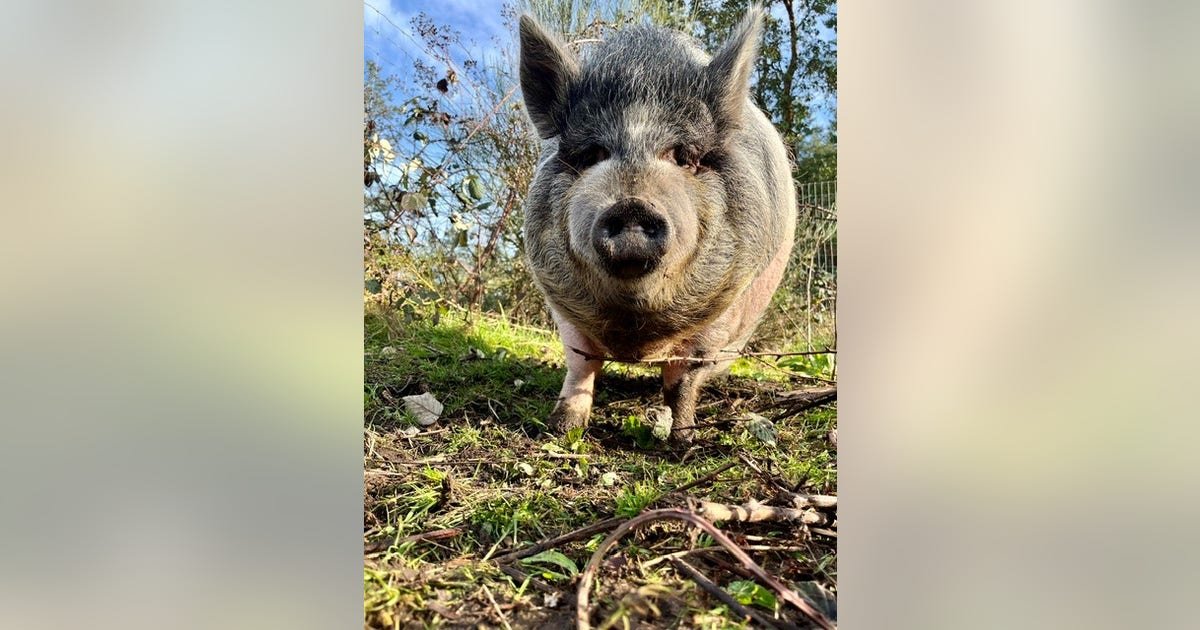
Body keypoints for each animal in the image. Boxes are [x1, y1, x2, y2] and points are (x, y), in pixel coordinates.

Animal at [518, 6, 796, 442]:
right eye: (592, 153)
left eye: (683, 156)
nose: (632, 205)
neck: (636, 332)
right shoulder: (560, 301)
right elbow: (581, 364)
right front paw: (559, 430)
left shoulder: (723, 312)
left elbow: (682, 382)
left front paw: (682, 439)